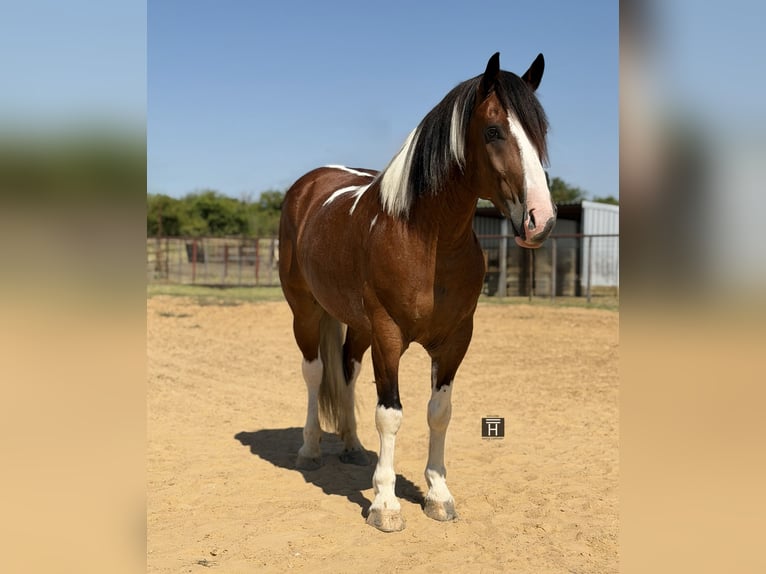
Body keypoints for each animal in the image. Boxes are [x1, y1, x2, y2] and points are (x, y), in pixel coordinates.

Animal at [278, 52, 556, 532]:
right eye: (494, 131)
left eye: (540, 132)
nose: (541, 218)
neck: (426, 238)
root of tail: (309, 185)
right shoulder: (389, 335)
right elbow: (390, 415)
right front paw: (385, 504)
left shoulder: (455, 339)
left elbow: (438, 412)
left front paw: (438, 496)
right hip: (306, 312)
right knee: (315, 373)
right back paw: (311, 450)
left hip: (357, 324)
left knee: (347, 371)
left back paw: (351, 446)